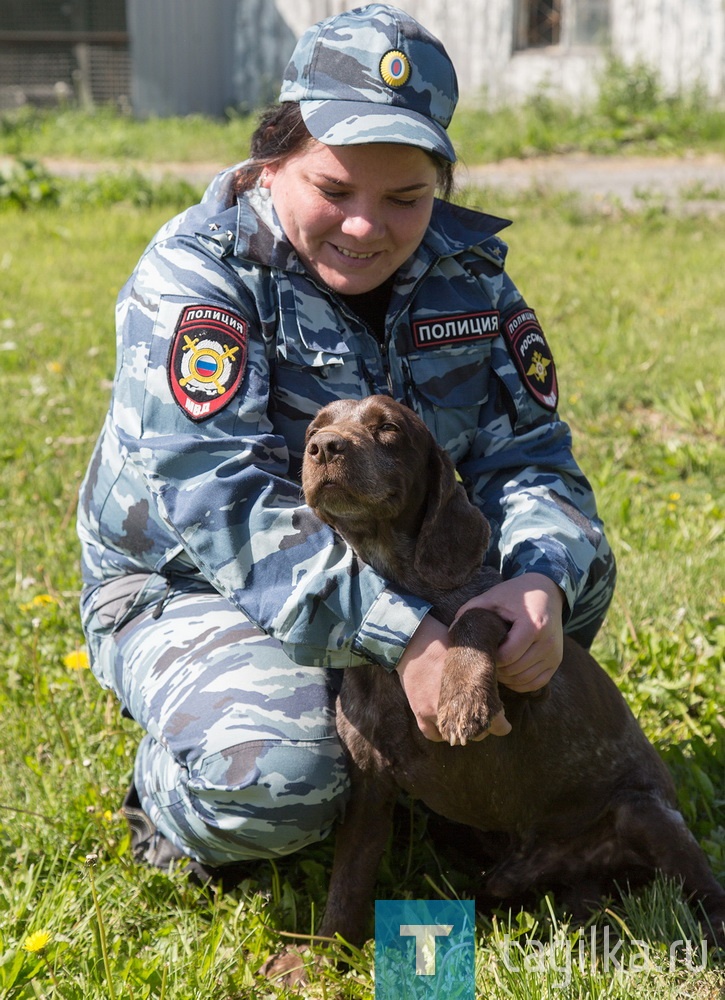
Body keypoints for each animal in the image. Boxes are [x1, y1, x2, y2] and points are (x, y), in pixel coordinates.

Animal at [264, 394, 720, 980]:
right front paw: (321, 957)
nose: (323, 448)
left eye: (388, 428)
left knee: (705, 890)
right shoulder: (371, 788)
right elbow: (346, 887)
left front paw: (462, 696)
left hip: (645, 813)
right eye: (313, 430)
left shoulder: (532, 683)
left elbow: (475, 616)